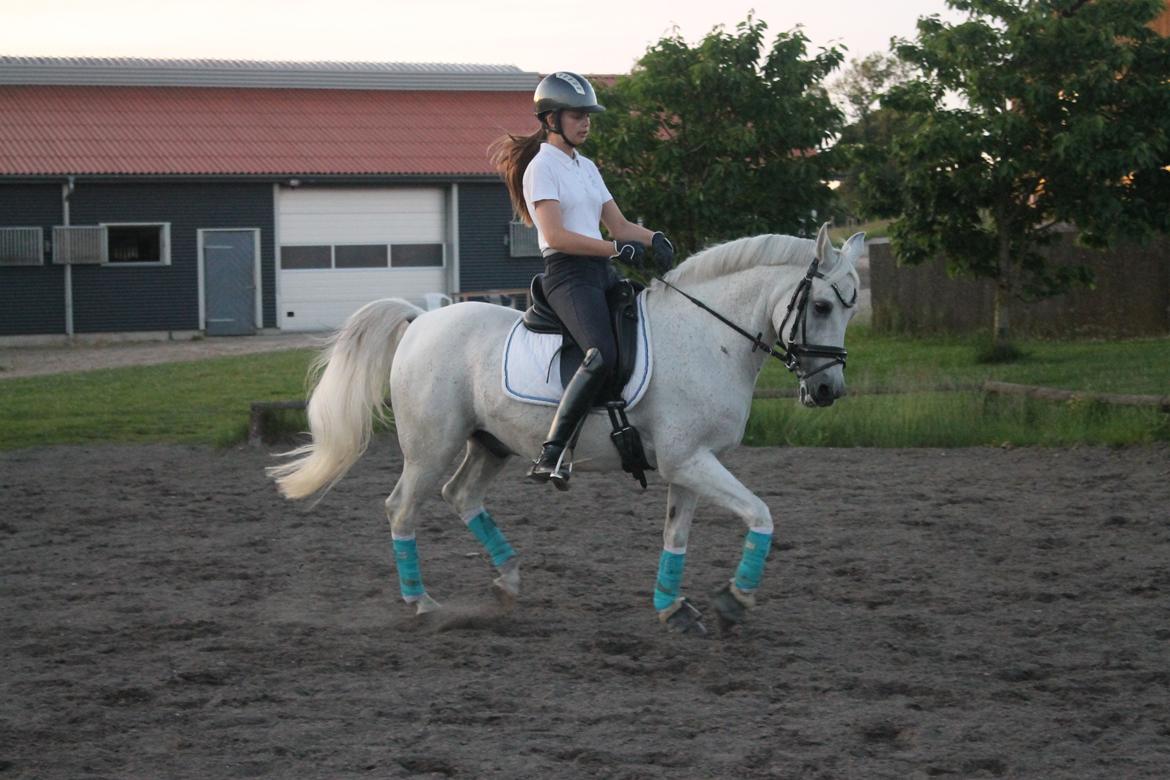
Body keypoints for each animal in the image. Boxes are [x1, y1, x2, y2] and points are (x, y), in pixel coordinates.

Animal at [269, 224, 865, 636]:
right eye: (820, 305)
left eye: (847, 312)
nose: (827, 390)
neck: (706, 335)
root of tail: (420, 321)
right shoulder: (690, 461)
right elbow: (761, 514)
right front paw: (734, 600)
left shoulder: (689, 465)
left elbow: (676, 537)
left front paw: (673, 608)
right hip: (430, 447)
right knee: (401, 508)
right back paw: (423, 603)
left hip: (491, 444)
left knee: (460, 495)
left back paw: (507, 582)